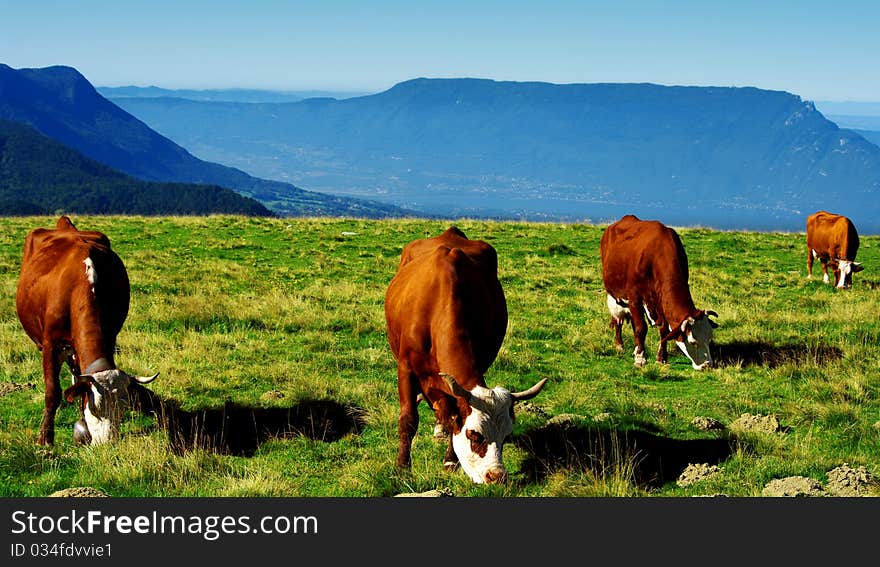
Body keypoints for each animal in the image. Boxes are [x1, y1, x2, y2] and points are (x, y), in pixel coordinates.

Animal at [15, 215, 156, 446]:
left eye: (124, 408)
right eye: (96, 408)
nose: (108, 444)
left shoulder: (111, 336)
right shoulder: (50, 344)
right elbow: (53, 392)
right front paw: (45, 438)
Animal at [386, 226, 552, 484]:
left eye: (507, 436)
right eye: (475, 435)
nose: (497, 476)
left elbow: (453, 414)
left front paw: (450, 460)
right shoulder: (405, 369)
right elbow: (408, 420)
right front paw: (402, 467)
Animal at [600, 215, 720, 370]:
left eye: (710, 338)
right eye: (693, 341)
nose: (707, 365)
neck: (657, 255)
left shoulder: (661, 301)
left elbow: (664, 331)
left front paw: (661, 358)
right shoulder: (635, 298)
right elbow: (641, 328)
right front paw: (640, 359)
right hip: (615, 296)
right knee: (618, 321)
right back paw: (620, 346)